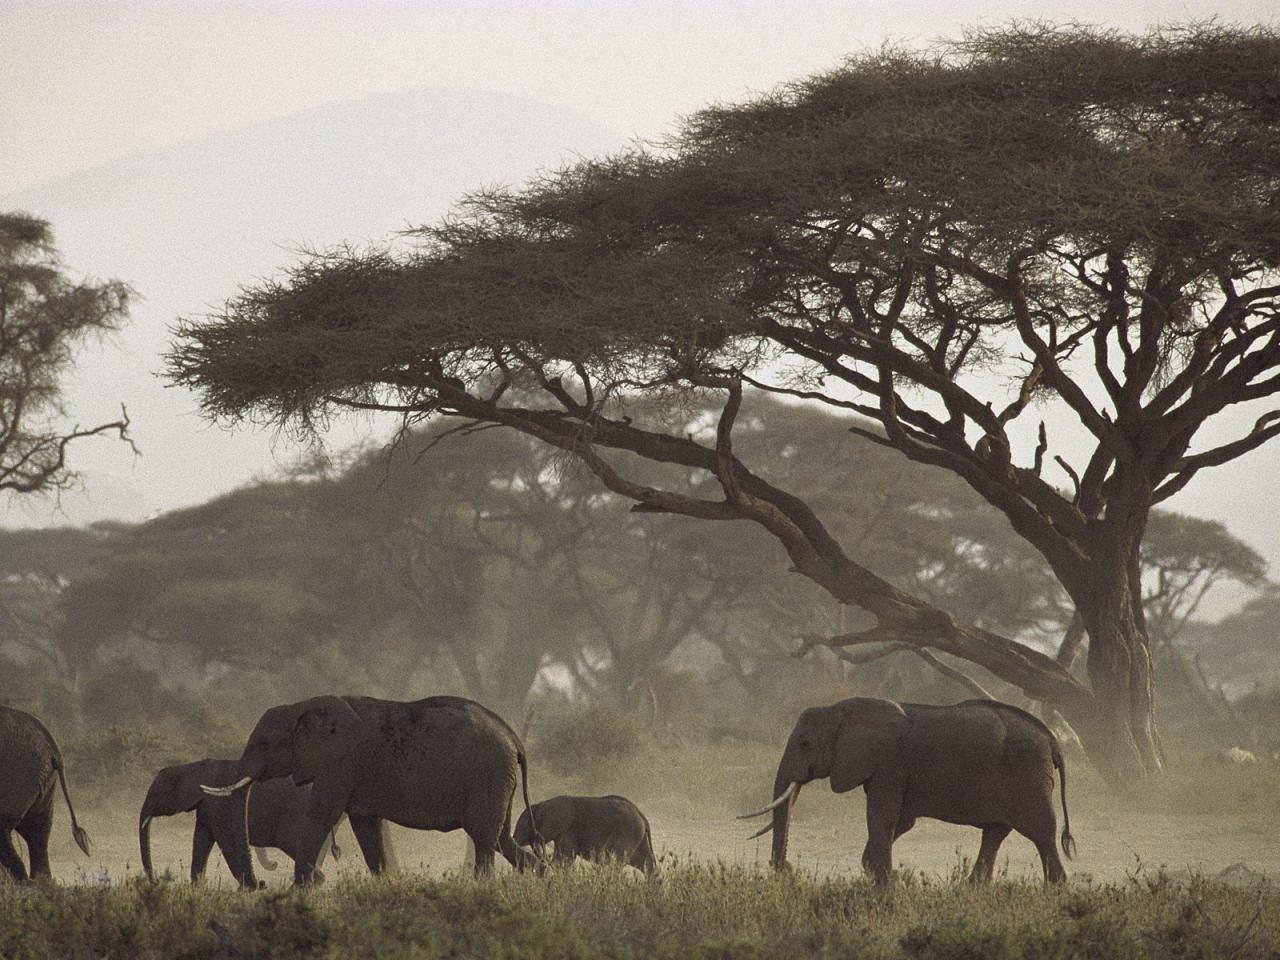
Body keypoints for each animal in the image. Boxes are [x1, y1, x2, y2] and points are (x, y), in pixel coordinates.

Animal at [138, 762, 350, 890]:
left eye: (158, 793)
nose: (155, 882)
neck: (191, 766)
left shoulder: (217, 804)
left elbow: (223, 839)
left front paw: (246, 889)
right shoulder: (206, 807)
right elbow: (201, 840)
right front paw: (196, 889)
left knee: (292, 843)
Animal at [203, 696, 540, 885]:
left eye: (264, 744)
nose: (260, 885)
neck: (303, 707)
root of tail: (514, 738)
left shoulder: (341, 763)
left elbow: (321, 817)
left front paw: (297, 891)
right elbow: (365, 826)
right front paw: (385, 885)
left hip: (488, 774)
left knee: (484, 838)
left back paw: (482, 887)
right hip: (499, 779)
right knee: (501, 838)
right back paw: (542, 876)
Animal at [514, 793, 660, 875]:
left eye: (523, 825)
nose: (515, 839)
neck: (542, 805)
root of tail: (642, 817)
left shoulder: (568, 829)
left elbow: (564, 859)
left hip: (629, 834)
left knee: (616, 863)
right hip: (639, 838)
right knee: (646, 863)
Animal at [742, 701, 1080, 885]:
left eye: (804, 744)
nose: (785, 870)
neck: (841, 710)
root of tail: (1053, 740)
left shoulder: (890, 763)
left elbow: (882, 818)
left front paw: (884, 887)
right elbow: (901, 821)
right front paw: (879, 876)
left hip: (1028, 775)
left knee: (1040, 832)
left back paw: (1055, 890)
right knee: (995, 832)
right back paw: (972, 890)